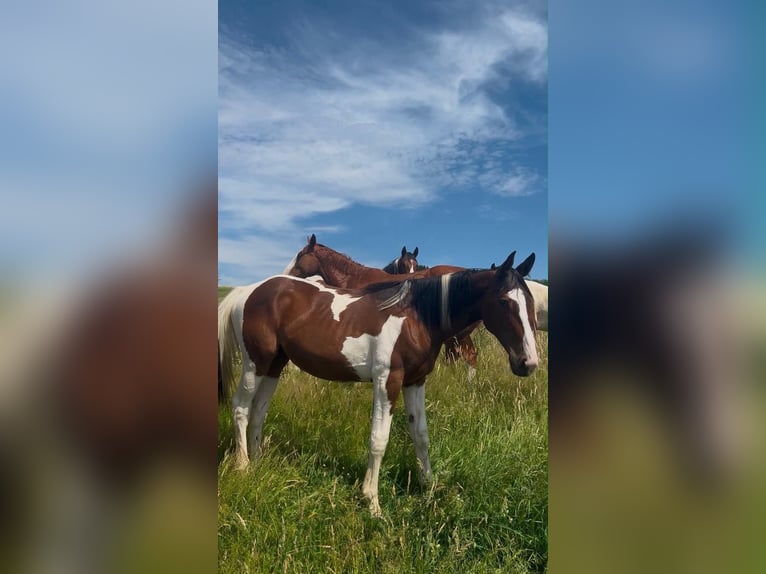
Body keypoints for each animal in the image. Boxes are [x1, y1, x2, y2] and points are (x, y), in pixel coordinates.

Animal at [218, 250, 537, 515]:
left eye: (531, 303)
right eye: (504, 302)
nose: (528, 363)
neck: (417, 316)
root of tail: (248, 291)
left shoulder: (416, 381)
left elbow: (421, 434)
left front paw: (429, 486)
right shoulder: (388, 381)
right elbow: (378, 439)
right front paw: (371, 500)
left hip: (274, 365)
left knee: (259, 411)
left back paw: (259, 462)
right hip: (254, 364)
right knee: (241, 408)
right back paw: (243, 466)